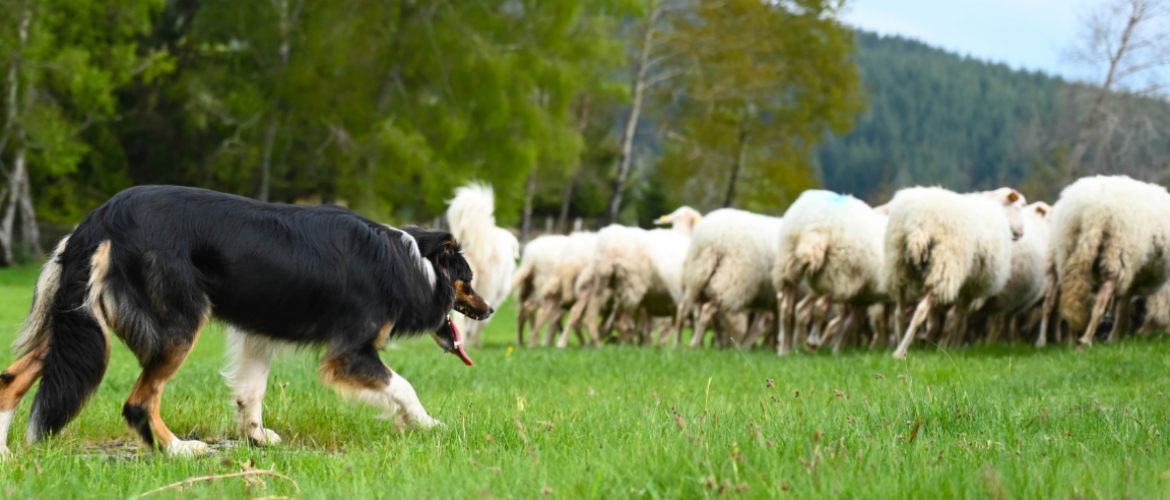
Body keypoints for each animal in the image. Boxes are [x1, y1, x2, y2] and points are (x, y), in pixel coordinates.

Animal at [0, 185, 489, 459]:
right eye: (467, 281)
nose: (488, 310)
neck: (411, 263)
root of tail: (100, 220)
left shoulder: (258, 333)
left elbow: (251, 391)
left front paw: (257, 439)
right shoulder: (351, 352)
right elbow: (402, 386)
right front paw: (427, 425)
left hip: (77, 324)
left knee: (12, 377)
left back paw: (5, 455)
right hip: (177, 322)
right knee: (139, 401)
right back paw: (179, 450)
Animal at [776, 188, 884, 355]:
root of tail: (819, 224)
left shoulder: (860, 295)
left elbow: (848, 320)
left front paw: (837, 348)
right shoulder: (865, 294)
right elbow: (850, 322)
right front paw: (837, 349)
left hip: (788, 261)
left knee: (786, 306)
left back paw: (784, 350)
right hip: (836, 271)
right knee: (820, 307)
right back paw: (812, 343)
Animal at [884, 186, 1024, 358]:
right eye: (1021, 206)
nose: (1021, 232)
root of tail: (919, 222)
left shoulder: (966, 284)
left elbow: (951, 319)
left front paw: (945, 347)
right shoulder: (972, 287)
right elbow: (959, 319)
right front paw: (949, 348)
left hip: (898, 264)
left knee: (899, 312)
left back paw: (899, 346)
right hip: (946, 265)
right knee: (921, 311)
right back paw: (900, 351)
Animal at [1048, 175, 1170, 344]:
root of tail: (1093, 209)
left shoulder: (1134, 277)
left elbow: (1121, 304)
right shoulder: (1134, 274)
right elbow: (1123, 307)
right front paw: (1117, 336)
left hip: (1068, 248)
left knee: (1070, 293)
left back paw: (1073, 340)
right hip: (1119, 252)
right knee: (1101, 300)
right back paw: (1086, 340)